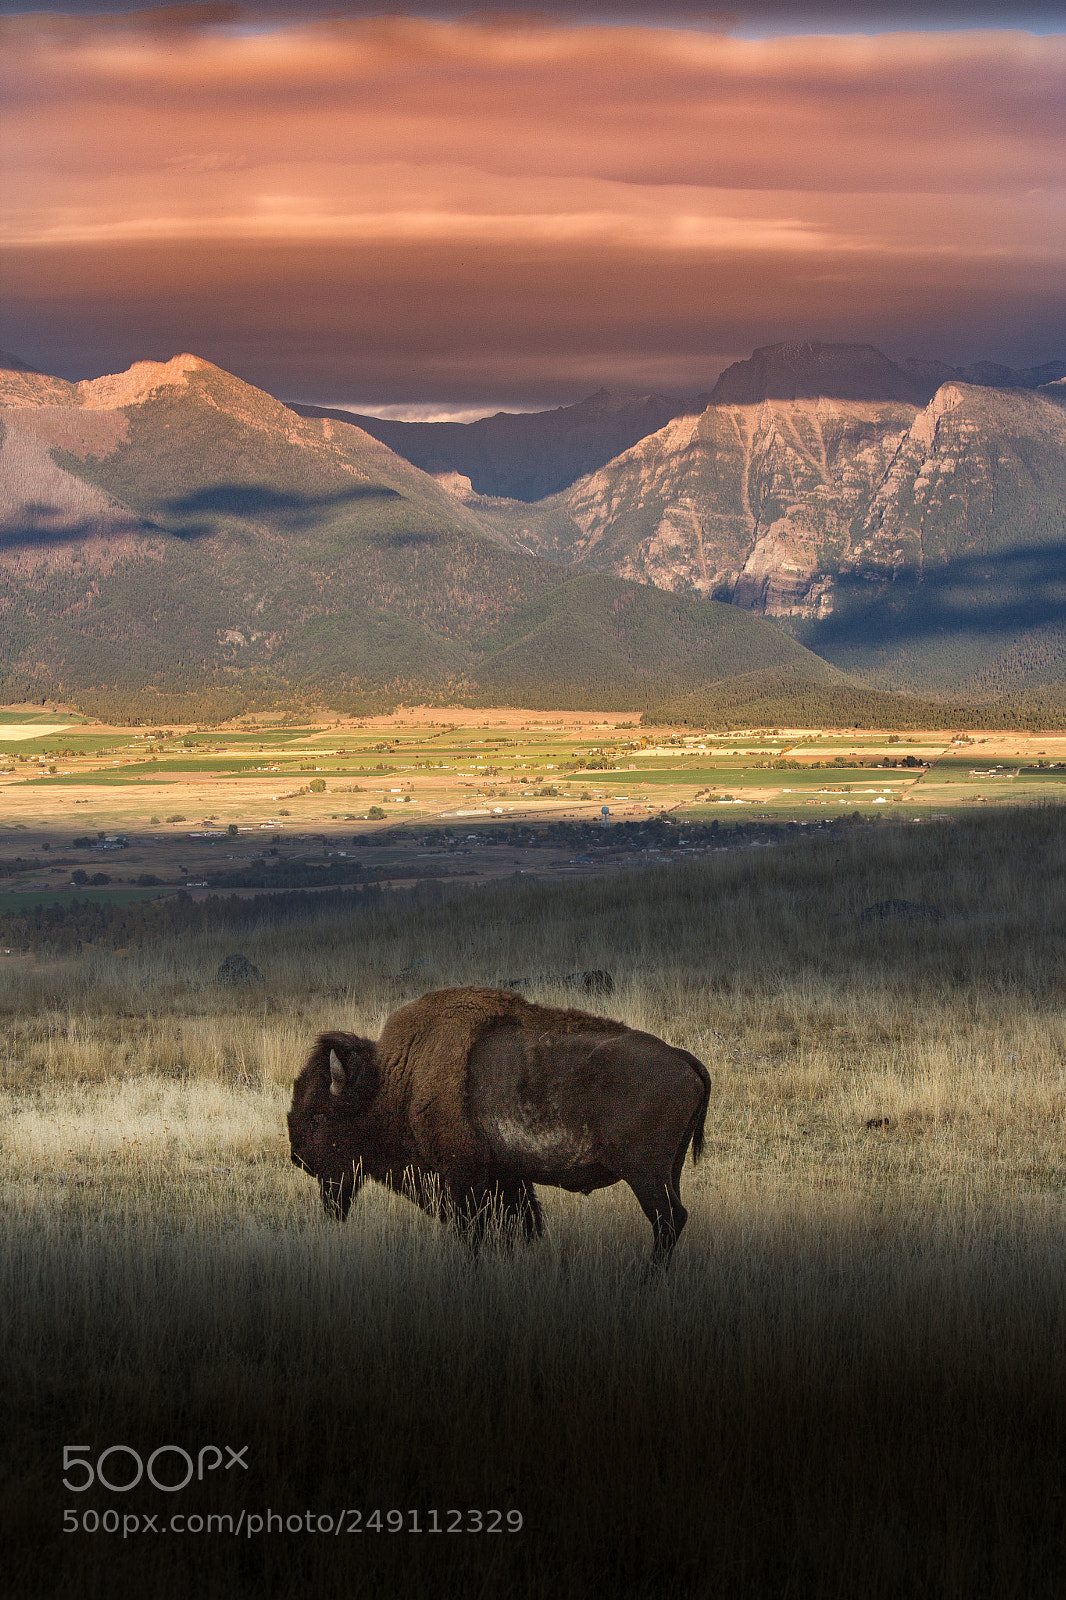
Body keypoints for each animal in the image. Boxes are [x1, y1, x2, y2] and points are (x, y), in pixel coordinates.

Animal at [287, 986, 710, 1260]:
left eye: (320, 1114)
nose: (298, 1157)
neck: (395, 1081)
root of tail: (681, 1058)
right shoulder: (507, 1178)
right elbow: (521, 1225)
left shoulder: (464, 1179)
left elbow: (473, 1231)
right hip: (669, 1171)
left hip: (644, 1174)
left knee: (667, 1221)